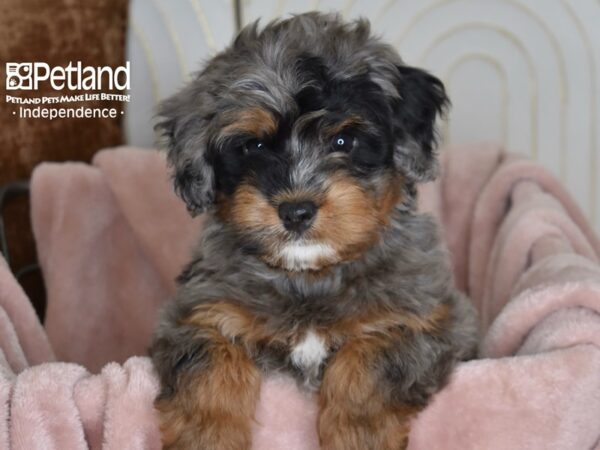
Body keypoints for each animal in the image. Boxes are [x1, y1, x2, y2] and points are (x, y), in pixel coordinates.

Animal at [151, 13, 478, 450]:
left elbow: (370, 360)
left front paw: (358, 435)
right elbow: (209, 360)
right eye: (253, 146)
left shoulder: (433, 323)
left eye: (344, 140)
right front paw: (207, 436)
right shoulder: (193, 315)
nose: (296, 211)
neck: (309, 274)